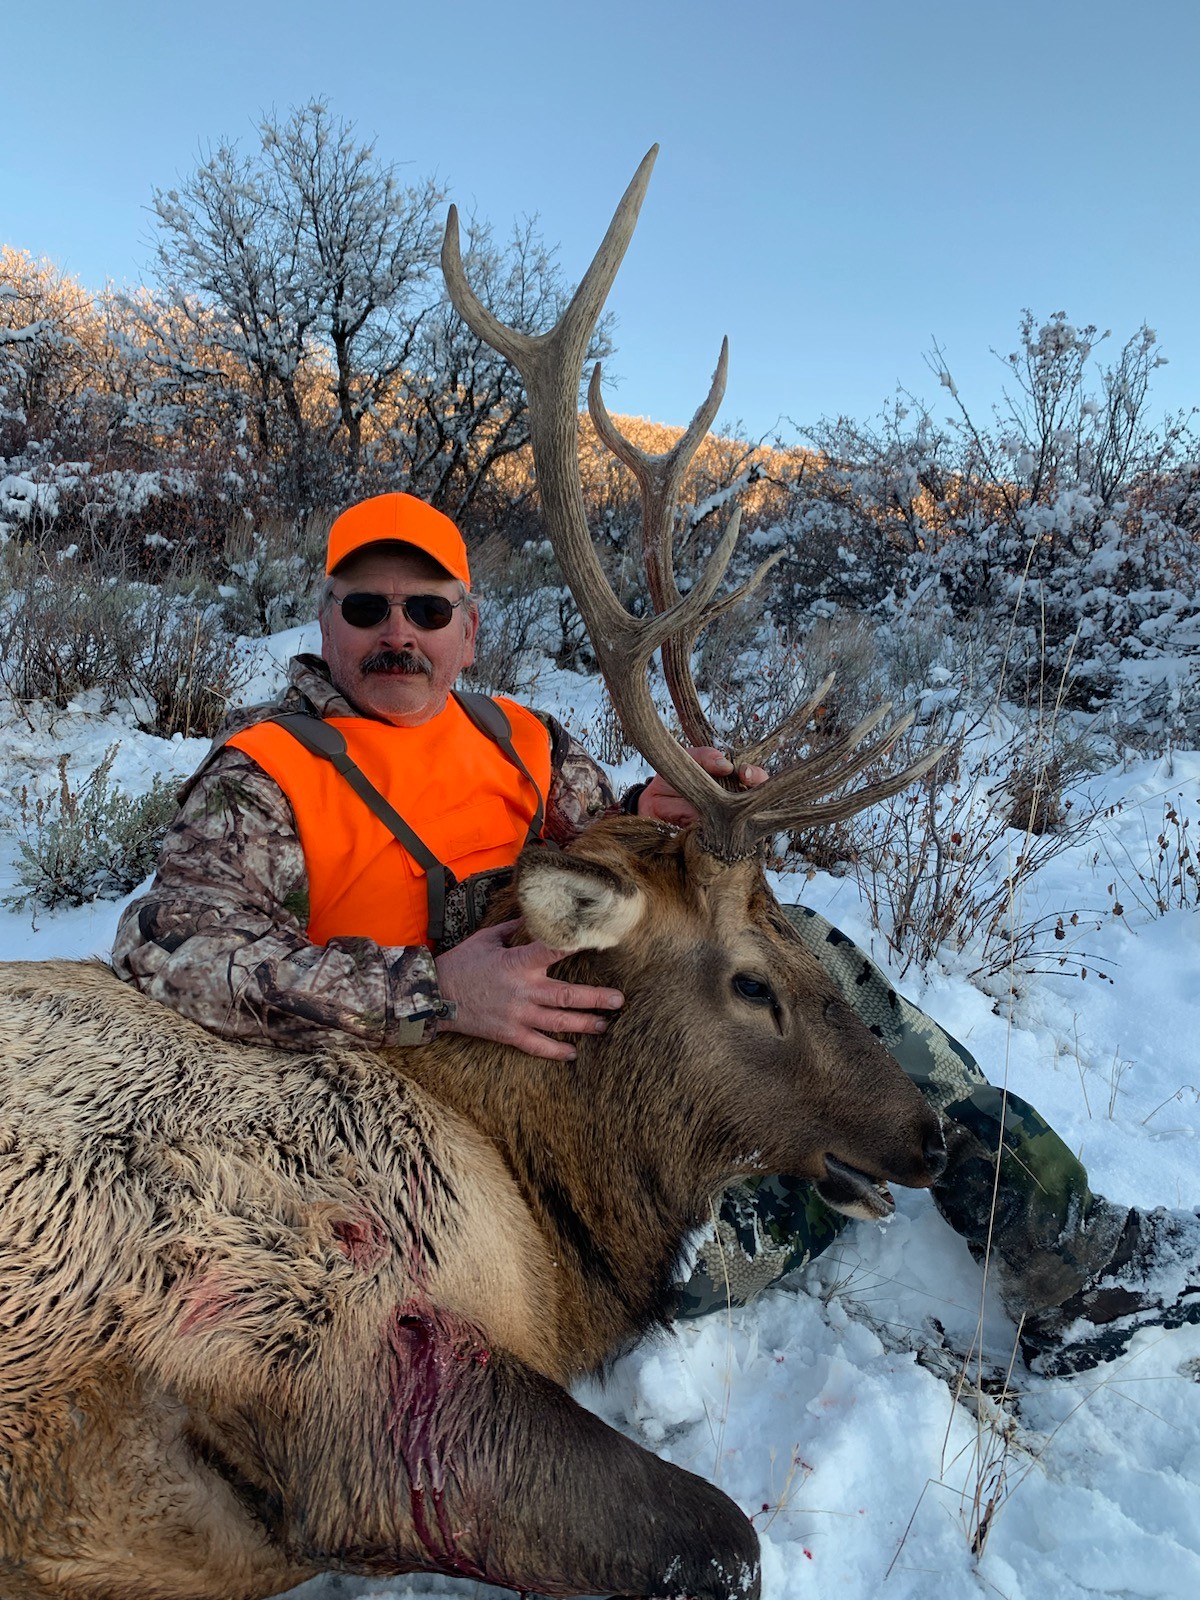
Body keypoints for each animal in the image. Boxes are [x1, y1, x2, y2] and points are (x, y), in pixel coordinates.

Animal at [0, 147, 946, 1600]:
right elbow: (719, 1535)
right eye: (753, 982)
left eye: (810, 938)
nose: (930, 1130)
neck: (547, 1214)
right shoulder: (315, 1319)